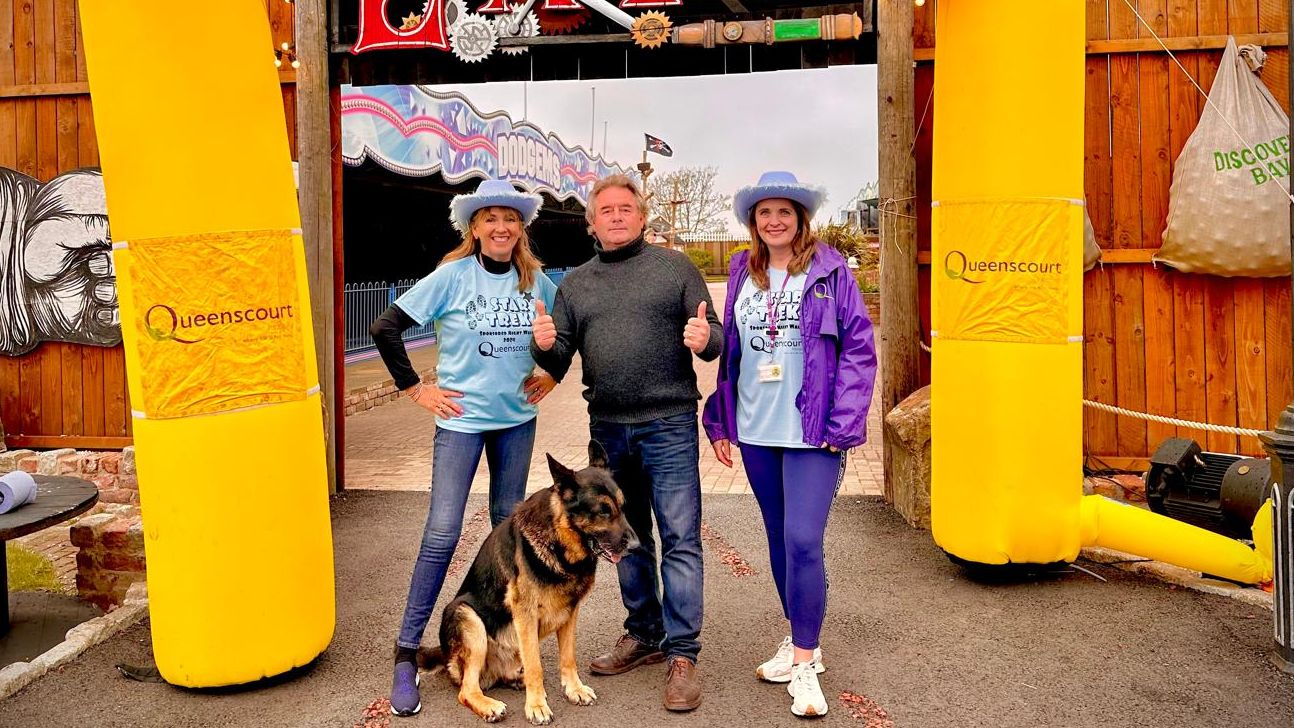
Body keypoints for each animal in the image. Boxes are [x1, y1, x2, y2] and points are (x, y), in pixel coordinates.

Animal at [419, 442, 636, 724]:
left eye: (622, 506)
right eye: (603, 511)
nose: (636, 546)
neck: (558, 541)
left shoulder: (570, 612)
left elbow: (568, 657)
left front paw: (573, 689)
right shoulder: (525, 613)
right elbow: (536, 666)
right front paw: (536, 705)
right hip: (466, 615)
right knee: (467, 689)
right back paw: (490, 705)